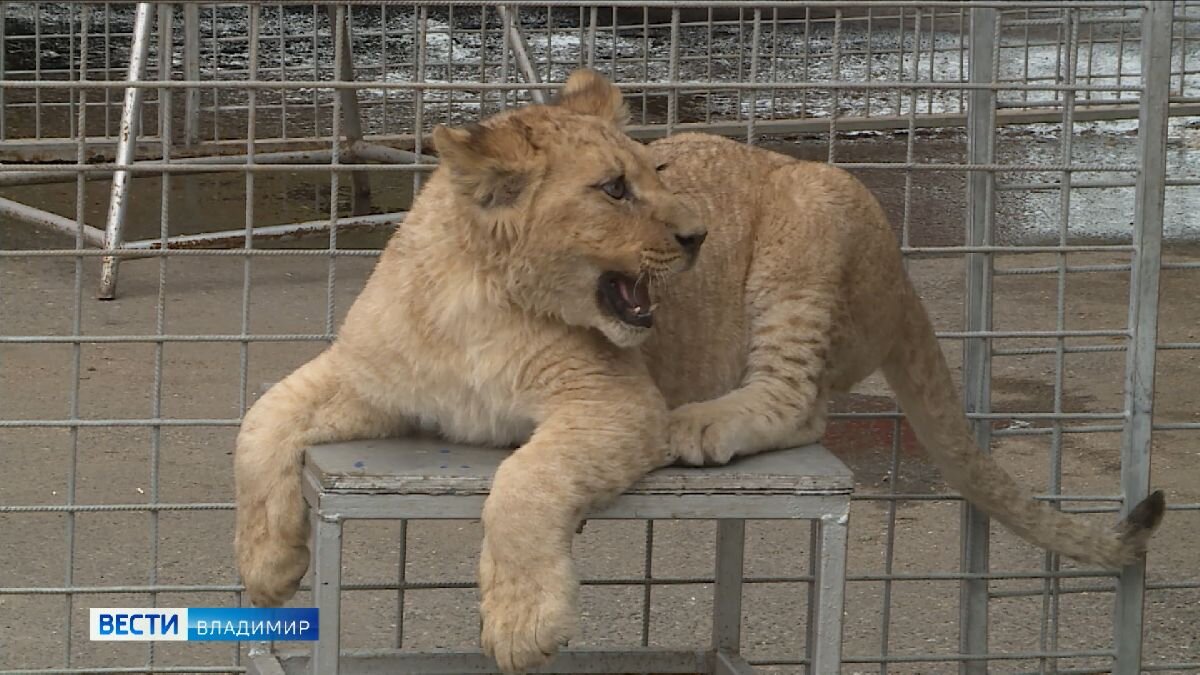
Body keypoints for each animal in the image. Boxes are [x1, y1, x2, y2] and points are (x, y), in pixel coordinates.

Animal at [234, 66, 1161, 667]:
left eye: (656, 172)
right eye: (613, 189)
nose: (696, 236)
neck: (482, 295)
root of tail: (902, 277)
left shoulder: (615, 402)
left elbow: (525, 482)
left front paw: (523, 622)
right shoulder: (369, 378)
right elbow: (260, 419)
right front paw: (266, 565)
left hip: (811, 227)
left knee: (799, 400)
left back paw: (701, 422)